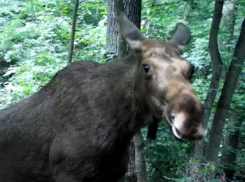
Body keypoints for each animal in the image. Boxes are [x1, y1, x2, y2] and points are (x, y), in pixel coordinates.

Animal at [0, 14, 207, 182]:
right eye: (146, 67)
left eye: (191, 68)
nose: (190, 119)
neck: (120, 129)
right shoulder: (68, 173)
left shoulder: (114, 174)